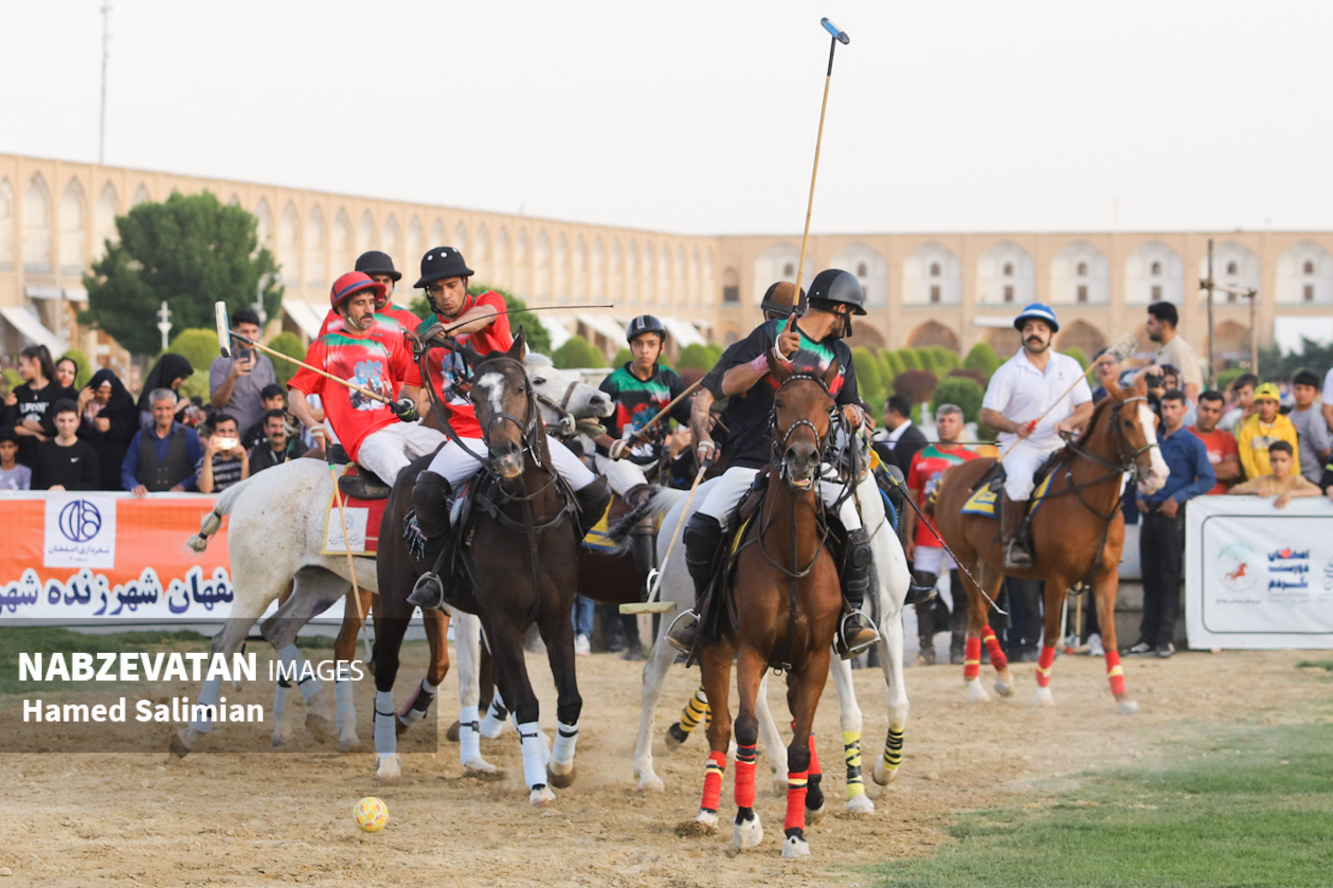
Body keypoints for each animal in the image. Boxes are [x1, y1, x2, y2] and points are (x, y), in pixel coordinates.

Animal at [168, 354, 612, 759]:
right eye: (537, 381)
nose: (601, 399)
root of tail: (248, 485)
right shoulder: (459, 606)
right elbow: (458, 671)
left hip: (322, 581)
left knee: (279, 629)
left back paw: (319, 715)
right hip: (260, 581)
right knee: (227, 641)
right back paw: (193, 732)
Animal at [371, 333, 588, 805]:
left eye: (523, 388)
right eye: (473, 396)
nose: (505, 457)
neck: (528, 517)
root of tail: (408, 470)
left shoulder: (556, 616)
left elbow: (568, 698)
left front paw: (560, 768)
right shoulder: (504, 619)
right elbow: (526, 700)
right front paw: (539, 785)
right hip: (395, 595)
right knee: (385, 664)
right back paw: (388, 761)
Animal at [686, 366, 849, 858]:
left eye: (829, 407)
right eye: (779, 403)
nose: (802, 458)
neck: (791, 555)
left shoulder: (815, 659)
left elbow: (799, 745)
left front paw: (794, 833)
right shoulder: (752, 651)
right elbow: (745, 730)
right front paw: (745, 821)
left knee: (798, 721)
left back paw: (811, 797)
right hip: (716, 649)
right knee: (720, 729)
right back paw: (707, 812)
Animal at [932, 374, 1167, 714]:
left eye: (1156, 421)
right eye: (1127, 422)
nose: (1158, 475)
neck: (1086, 499)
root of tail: (951, 473)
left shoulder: (1106, 576)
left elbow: (1109, 634)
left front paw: (1123, 696)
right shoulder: (1057, 578)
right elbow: (1053, 633)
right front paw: (1042, 691)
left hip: (992, 568)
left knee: (980, 615)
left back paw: (992, 678)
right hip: (966, 563)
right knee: (977, 613)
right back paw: (980, 683)